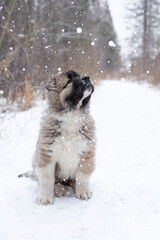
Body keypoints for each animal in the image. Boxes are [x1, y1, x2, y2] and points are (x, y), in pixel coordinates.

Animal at [19, 70, 95, 205]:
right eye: (69, 81)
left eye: (80, 75)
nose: (87, 77)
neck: (72, 116)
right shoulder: (47, 155)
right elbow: (47, 179)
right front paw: (45, 197)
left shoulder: (86, 153)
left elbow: (83, 177)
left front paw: (83, 192)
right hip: (35, 157)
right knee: (56, 181)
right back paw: (59, 188)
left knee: (73, 179)